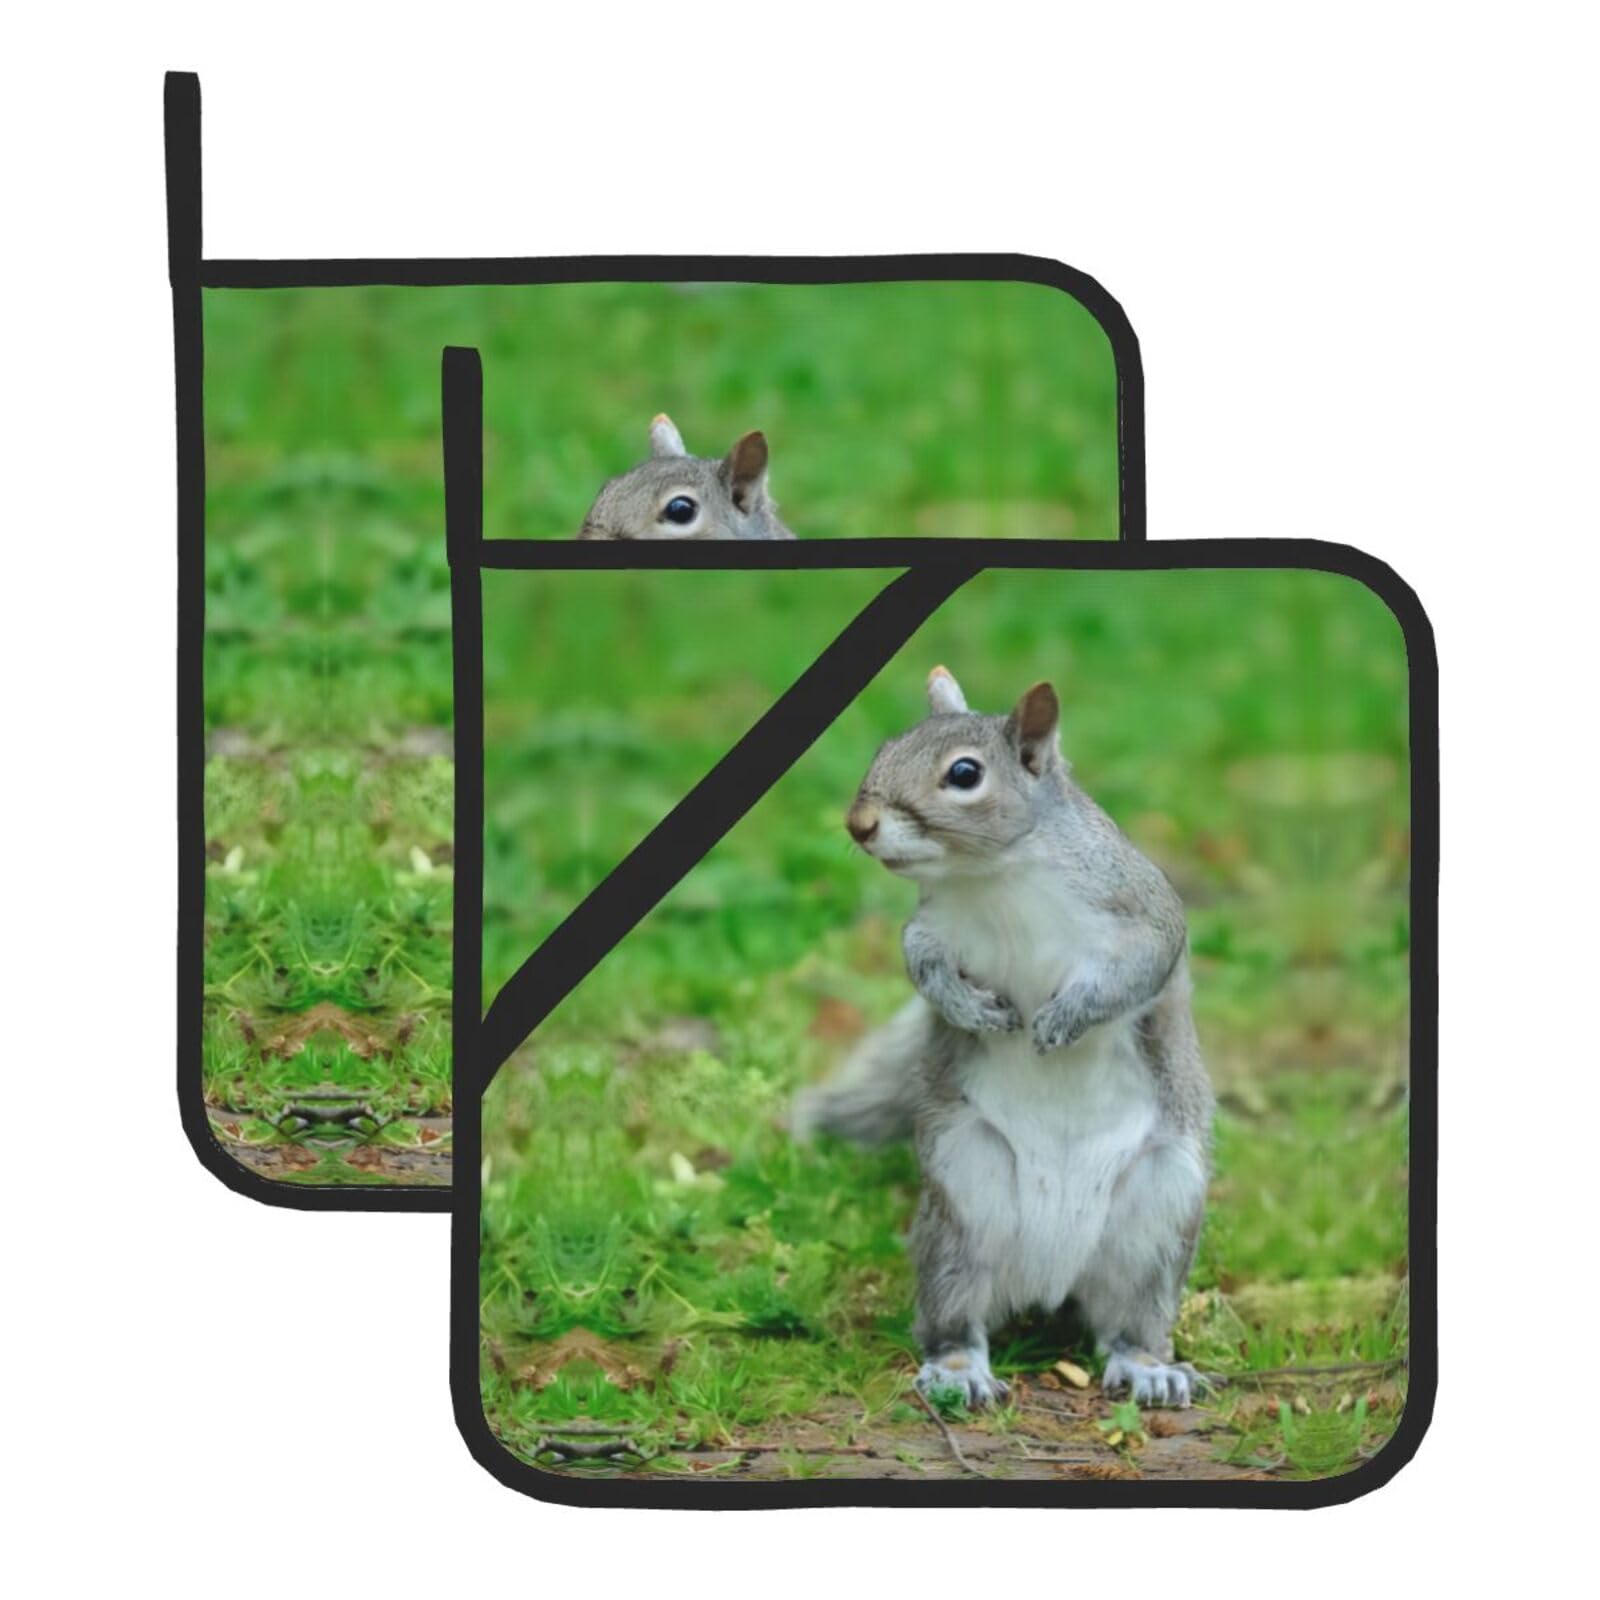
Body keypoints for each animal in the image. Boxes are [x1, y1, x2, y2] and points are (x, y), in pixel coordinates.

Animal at [794, 666, 1213, 1408]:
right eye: (887, 746)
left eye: (965, 773)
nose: (859, 824)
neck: (994, 876)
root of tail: (1053, 1278)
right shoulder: (932, 929)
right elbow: (922, 967)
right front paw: (970, 1011)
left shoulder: (1141, 911)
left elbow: (1140, 968)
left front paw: (1064, 1018)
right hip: (963, 1202)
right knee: (955, 1315)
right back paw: (958, 1370)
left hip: (1158, 1218)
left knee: (1130, 1322)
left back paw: (1148, 1368)